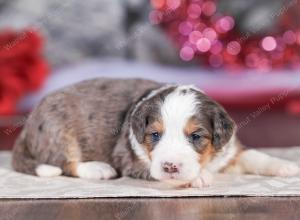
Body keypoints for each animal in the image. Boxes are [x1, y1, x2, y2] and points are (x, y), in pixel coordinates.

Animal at [11, 77, 298, 187]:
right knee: (65, 163)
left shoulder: (229, 150)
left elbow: (256, 156)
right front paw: (197, 178)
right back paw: (97, 169)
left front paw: (286, 166)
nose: (170, 166)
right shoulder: (129, 158)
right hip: (58, 132)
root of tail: (28, 125)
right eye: (155, 136)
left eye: (196, 137)